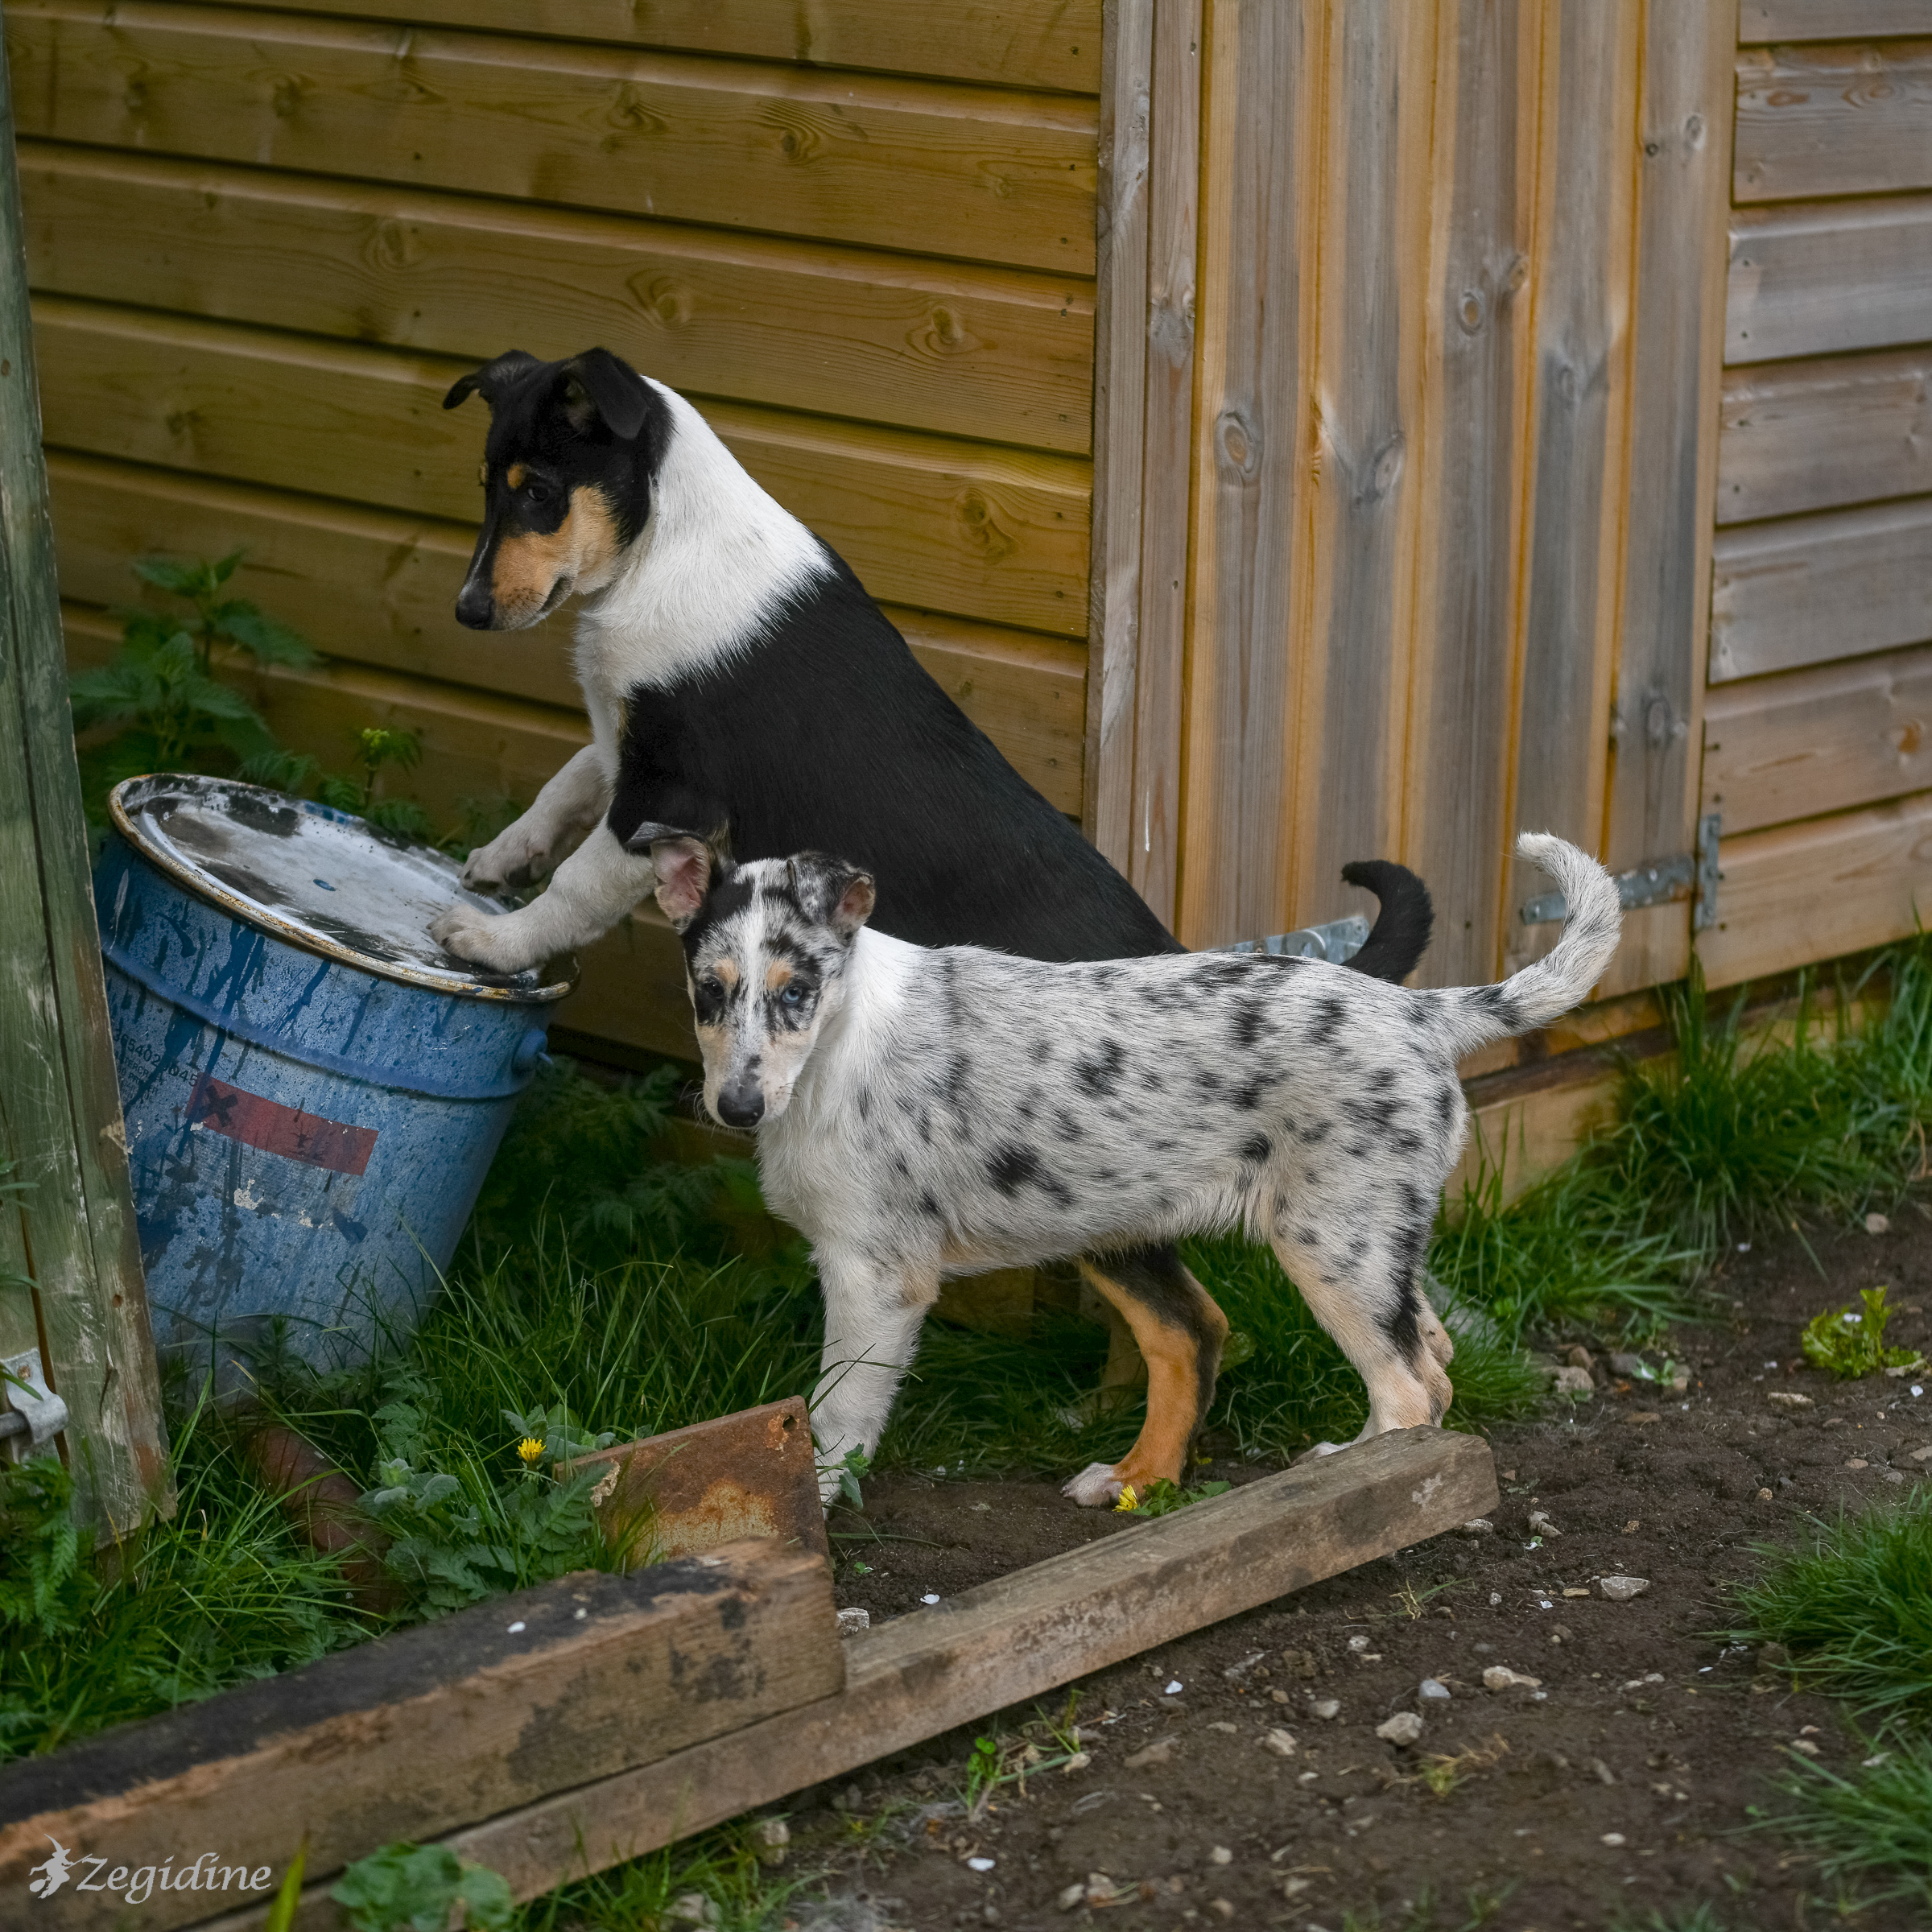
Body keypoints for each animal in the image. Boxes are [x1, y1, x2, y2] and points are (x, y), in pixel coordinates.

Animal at [653, 823, 1630, 1499]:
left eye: (797, 992)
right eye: (707, 991)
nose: (736, 1109)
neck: (836, 1040)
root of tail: (1425, 1012)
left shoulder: (875, 1275)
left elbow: (836, 1416)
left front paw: (817, 1503)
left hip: (1331, 1247)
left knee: (1406, 1391)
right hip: (1343, 1236)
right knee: (1414, 1354)